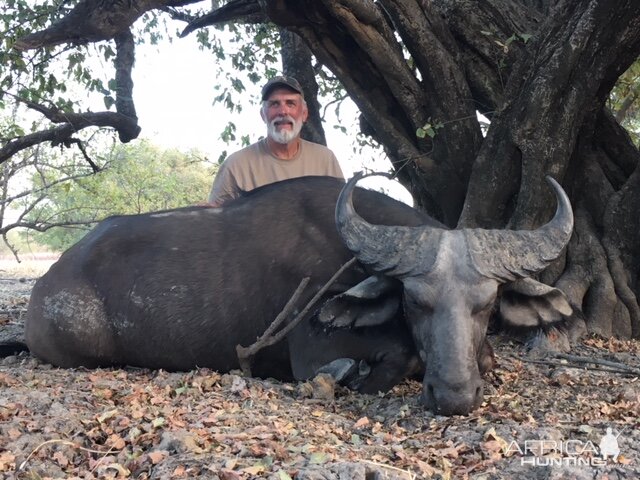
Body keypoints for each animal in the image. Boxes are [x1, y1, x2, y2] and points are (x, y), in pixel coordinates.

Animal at [25, 174, 576, 414]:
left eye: (487, 303)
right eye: (414, 301)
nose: (453, 398)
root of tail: (48, 283)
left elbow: (486, 358)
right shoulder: (311, 353)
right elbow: (395, 357)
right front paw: (352, 374)